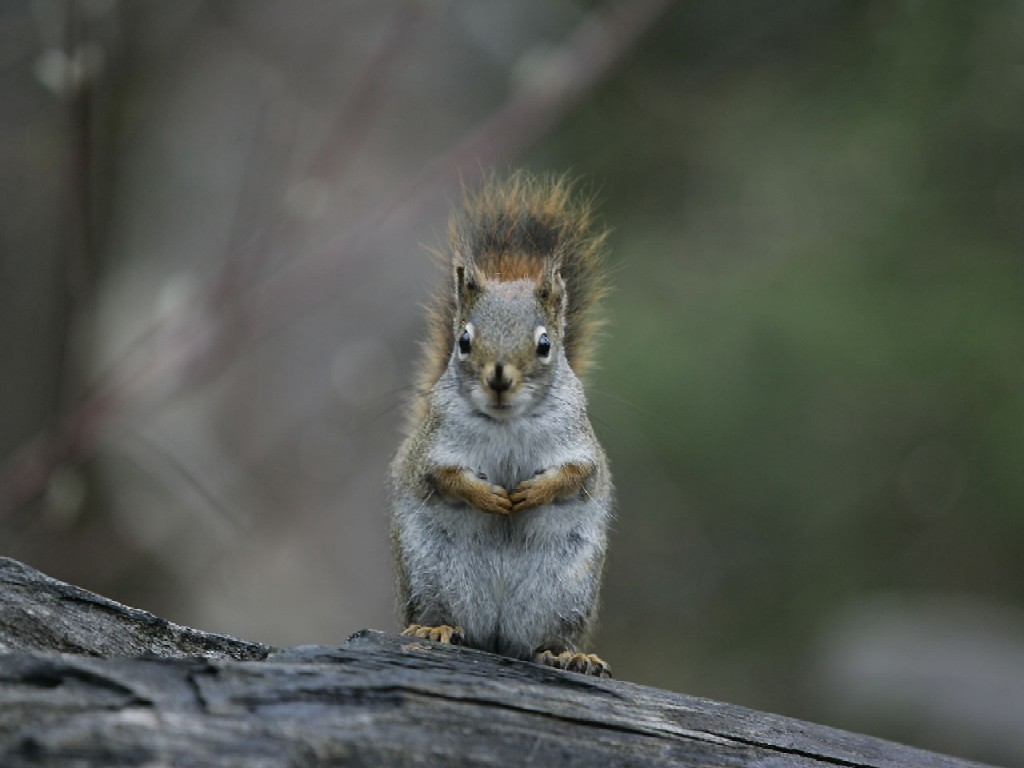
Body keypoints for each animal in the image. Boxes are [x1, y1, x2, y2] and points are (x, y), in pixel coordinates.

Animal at [389, 169, 614, 679]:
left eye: (545, 344)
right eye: (464, 341)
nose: (498, 379)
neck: (507, 423)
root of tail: (496, 638)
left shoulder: (579, 443)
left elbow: (579, 473)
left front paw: (533, 492)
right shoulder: (432, 446)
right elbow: (441, 475)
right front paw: (488, 496)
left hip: (565, 594)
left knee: (544, 640)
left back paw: (565, 654)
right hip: (431, 577)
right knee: (445, 617)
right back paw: (435, 629)